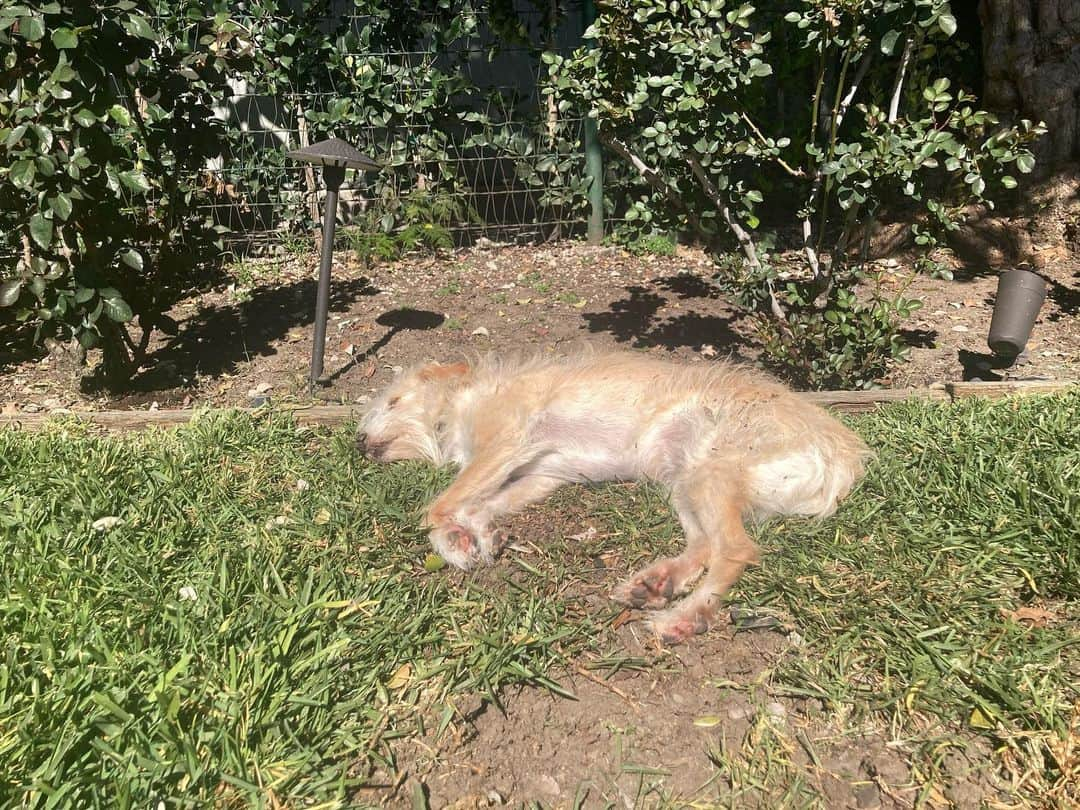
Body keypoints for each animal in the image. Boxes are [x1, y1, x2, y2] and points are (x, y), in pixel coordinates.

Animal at [354, 352, 868, 643]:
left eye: (393, 402)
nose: (358, 442)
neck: (462, 403)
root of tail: (845, 457)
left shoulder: (505, 443)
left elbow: (436, 507)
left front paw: (455, 540)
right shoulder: (541, 473)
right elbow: (480, 502)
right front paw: (478, 534)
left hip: (711, 472)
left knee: (736, 549)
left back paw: (685, 618)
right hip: (683, 479)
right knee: (705, 545)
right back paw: (657, 583)